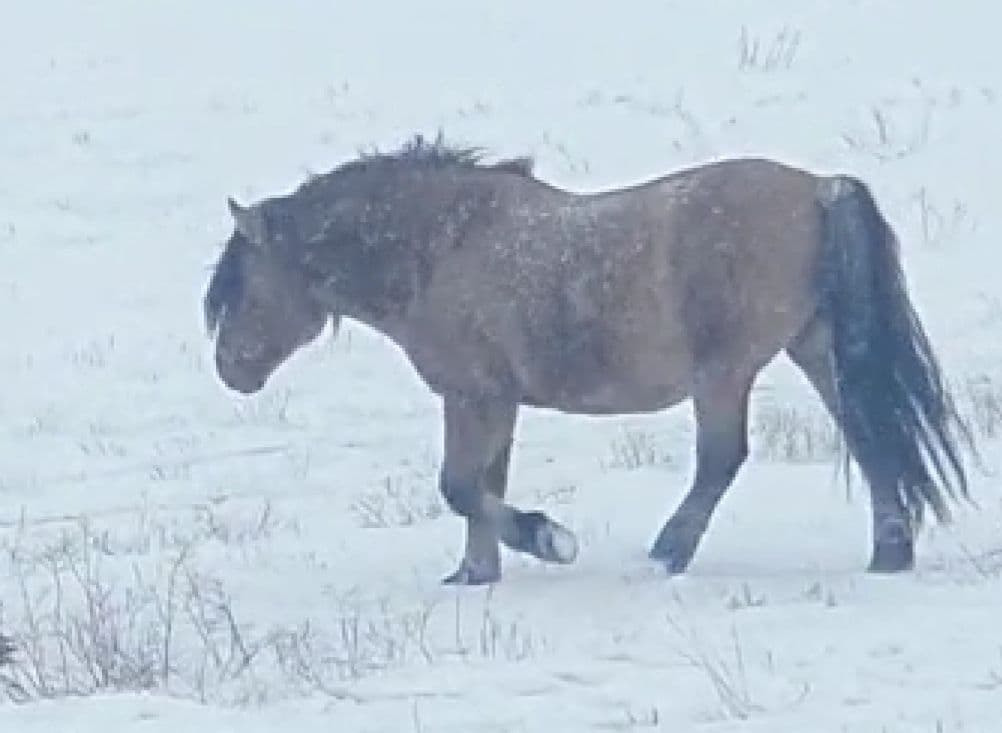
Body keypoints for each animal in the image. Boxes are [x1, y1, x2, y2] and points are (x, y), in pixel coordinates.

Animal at [203, 134, 969, 588]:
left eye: (242, 285)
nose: (230, 369)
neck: (442, 247)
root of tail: (819, 188)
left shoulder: (473, 393)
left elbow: (460, 486)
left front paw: (547, 538)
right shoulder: (493, 401)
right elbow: (481, 485)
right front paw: (475, 573)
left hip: (725, 372)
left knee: (723, 458)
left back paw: (669, 551)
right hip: (818, 350)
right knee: (871, 440)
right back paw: (889, 552)